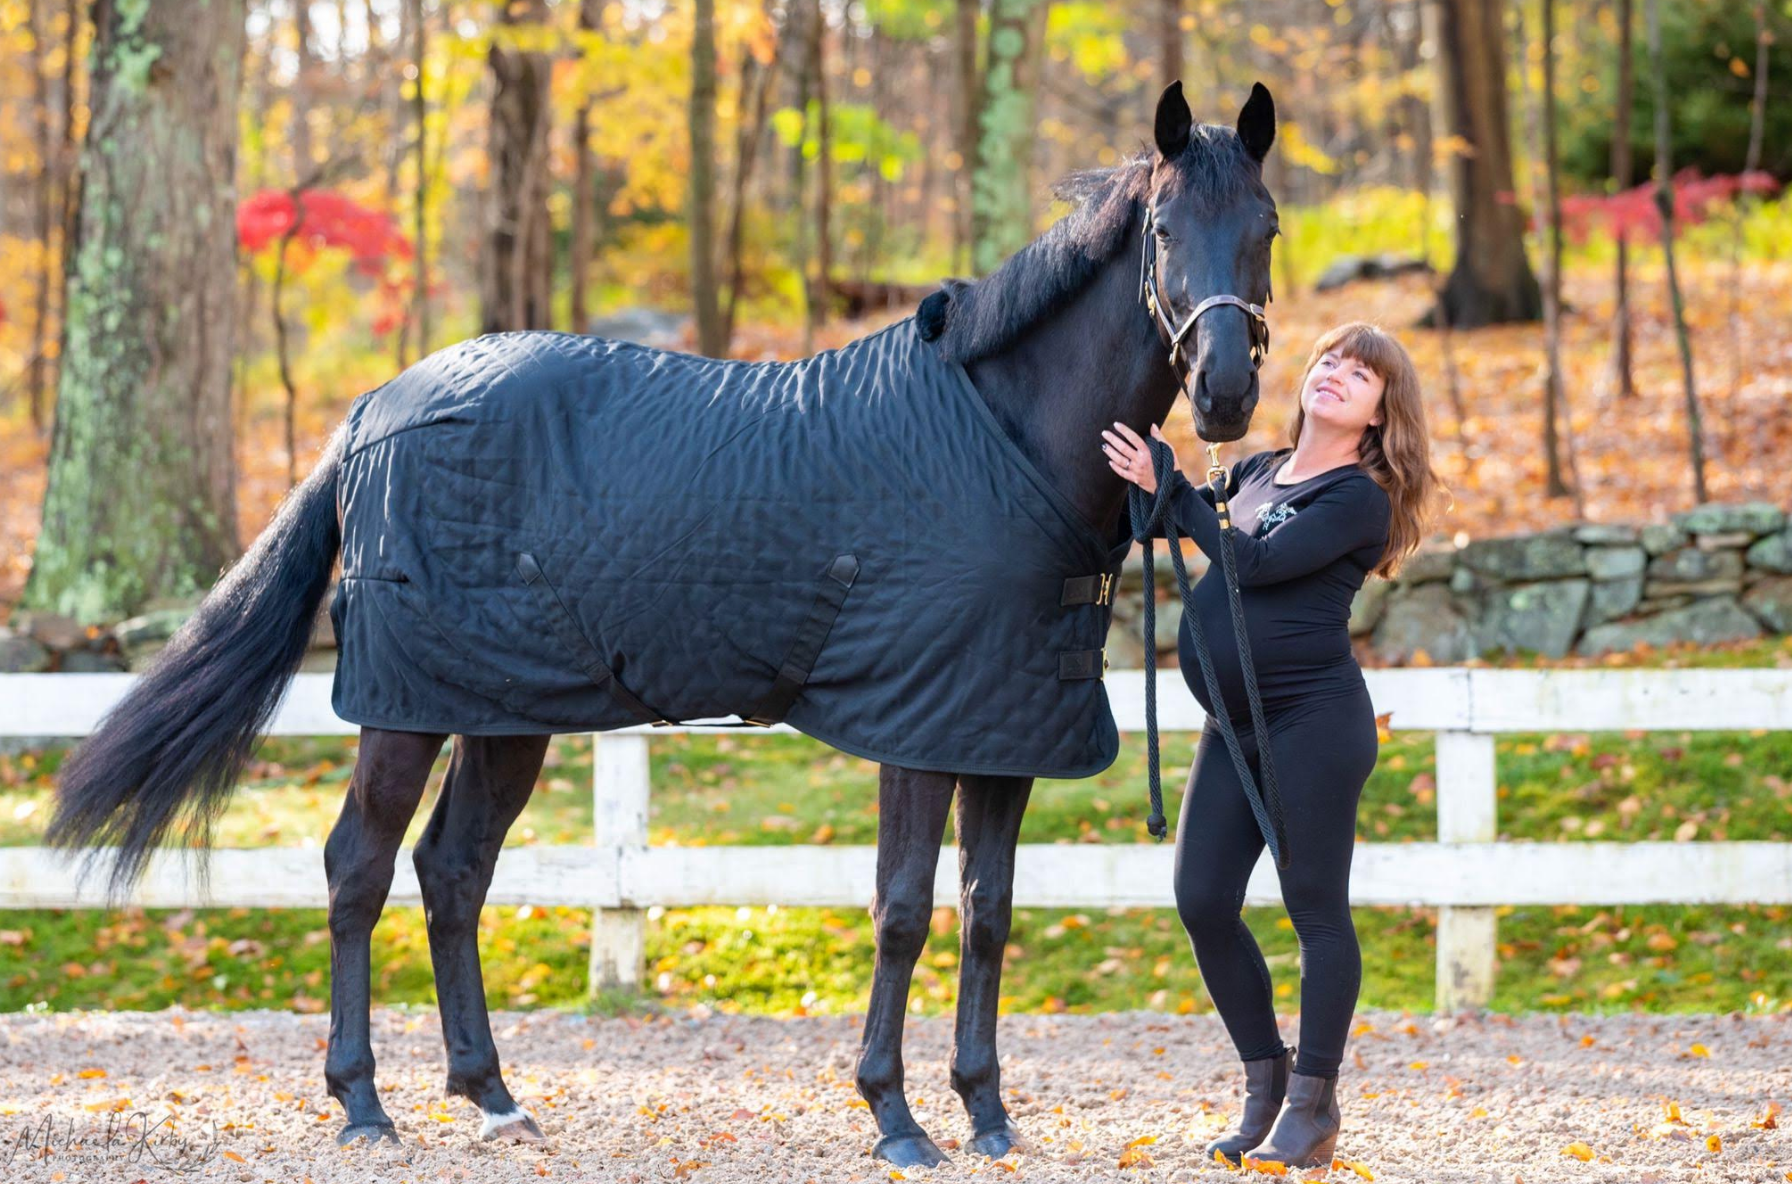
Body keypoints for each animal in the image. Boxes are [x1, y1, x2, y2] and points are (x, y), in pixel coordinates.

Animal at [45, 79, 1278, 1167]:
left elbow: (988, 913)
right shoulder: (916, 730)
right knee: (359, 867)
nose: (1223, 395)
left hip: (504, 712)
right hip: (407, 705)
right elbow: (901, 911)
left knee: (451, 870)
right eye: (1163, 229)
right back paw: (361, 1105)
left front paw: (985, 1112)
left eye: (1263, 227)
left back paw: (492, 1097)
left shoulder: (1002, 731)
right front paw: (896, 1117)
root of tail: (372, 411)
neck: (1004, 438)